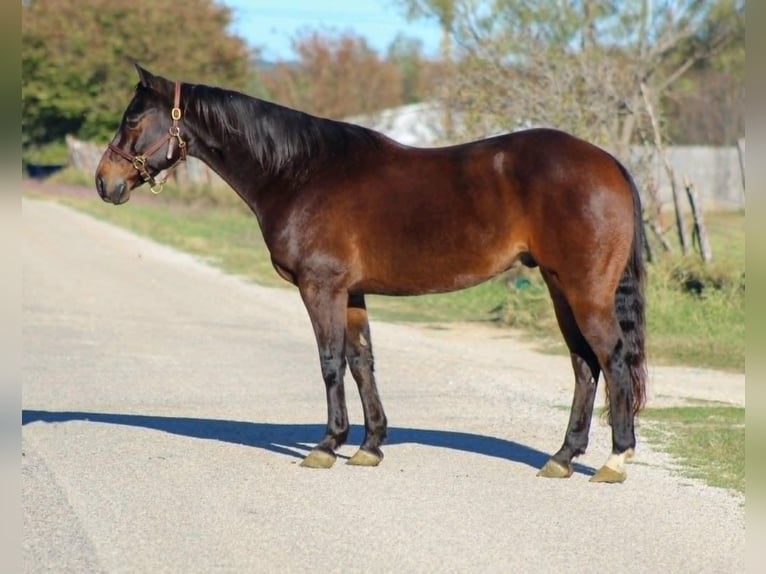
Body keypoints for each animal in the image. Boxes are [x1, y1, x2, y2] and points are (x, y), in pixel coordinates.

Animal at [95, 65, 647, 483]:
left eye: (132, 120)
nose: (104, 182)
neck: (300, 172)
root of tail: (609, 163)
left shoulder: (321, 288)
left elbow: (330, 362)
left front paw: (327, 445)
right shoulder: (352, 293)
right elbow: (362, 362)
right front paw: (370, 445)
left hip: (584, 291)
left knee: (612, 359)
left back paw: (615, 459)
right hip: (559, 288)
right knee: (584, 365)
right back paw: (563, 457)